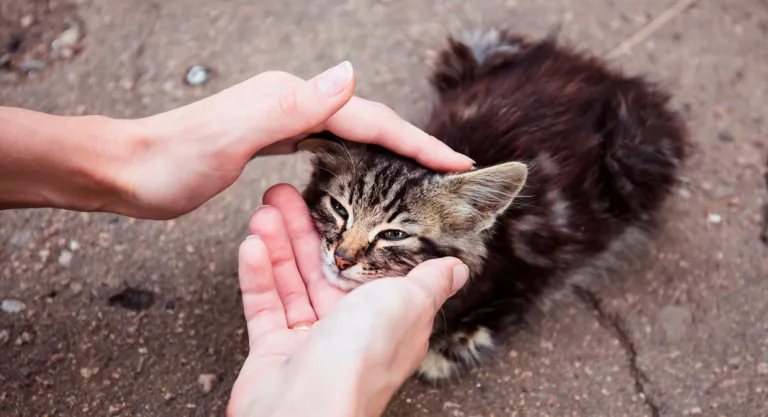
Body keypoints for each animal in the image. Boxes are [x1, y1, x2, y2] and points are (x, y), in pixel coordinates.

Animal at [296, 27, 688, 382]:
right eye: (340, 210)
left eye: (394, 235)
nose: (342, 258)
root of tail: (597, 72)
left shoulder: (532, 263)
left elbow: (517, 298)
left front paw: (453, 343)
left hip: (632, 152)